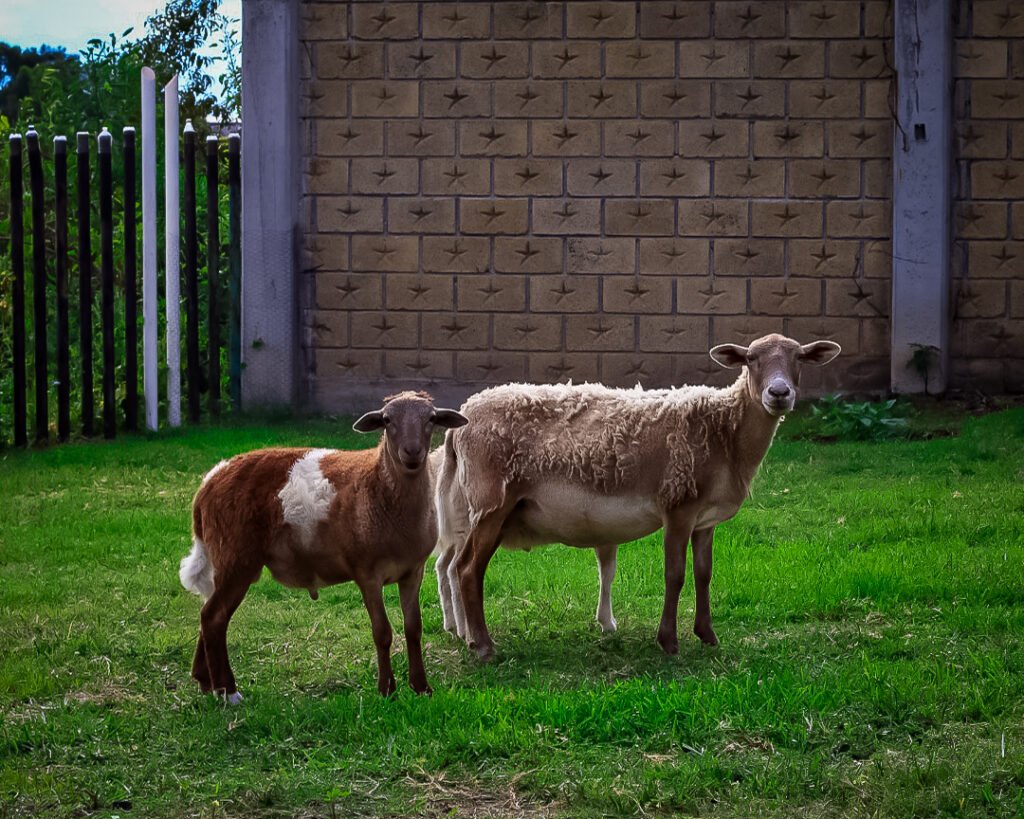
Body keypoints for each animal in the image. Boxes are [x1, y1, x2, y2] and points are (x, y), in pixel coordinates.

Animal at [179, 391, 467, 701]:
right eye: (387, 420)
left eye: (431, 419)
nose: (411, 452)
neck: (380, 483)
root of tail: (208, 484)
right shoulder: (367, 573)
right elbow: (382, 632)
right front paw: (386, 691)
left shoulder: (413, 571)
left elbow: (413, 629)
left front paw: (422, 688)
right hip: (236, 557)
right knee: (213, 616)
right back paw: (228, 692)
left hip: (228, 559)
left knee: (210, 614)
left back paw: (205, 682)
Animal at [435, 333, 840, 661]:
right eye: (751, 359)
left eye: (799, 358)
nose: (779, 394)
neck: (726, 431)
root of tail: (464, 417)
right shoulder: (678, 505)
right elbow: (675, 574)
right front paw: (669, 642)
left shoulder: (704, 520)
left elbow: (704, 574)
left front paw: (708, 636)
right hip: (491, 500)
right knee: (468, 570)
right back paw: (484, 647)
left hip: (486, 508)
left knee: (460, 566)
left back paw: (471, 639)